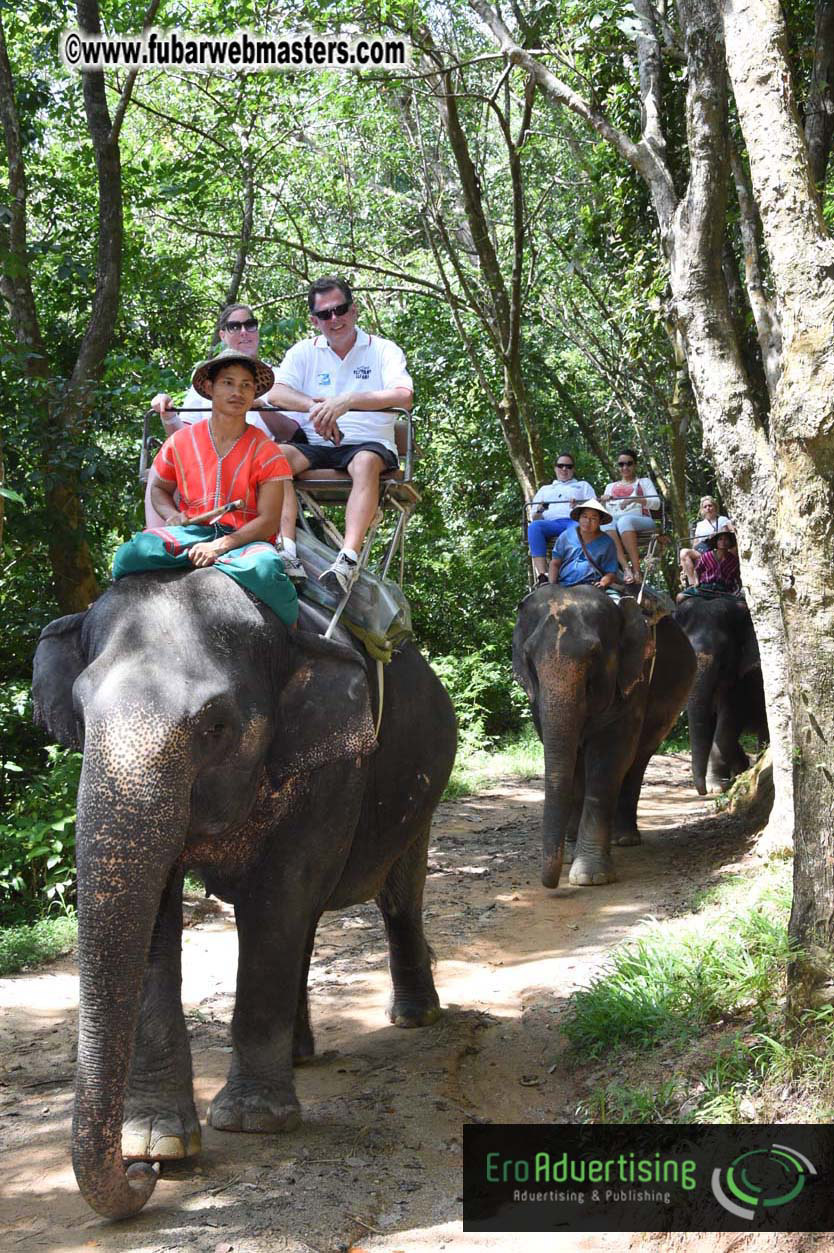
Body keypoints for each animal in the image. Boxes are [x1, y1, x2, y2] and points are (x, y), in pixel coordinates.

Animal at [31, 568, 456, 1220]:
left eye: (215, 725)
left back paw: (414, 1018)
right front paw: (158, 1142)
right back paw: (300, 1054)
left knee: (396, 896)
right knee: (310, 922)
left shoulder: (333, 765)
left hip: (423, 789)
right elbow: (158, 919)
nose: (140, 1176)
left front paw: (253, 1122)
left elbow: (278, 898)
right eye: (79, 712)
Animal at [513, 585, 696, 887]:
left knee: (637, 760)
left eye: (594, 653)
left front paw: (590, 876)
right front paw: (568, 855)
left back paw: (625, 838)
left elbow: (608, 760)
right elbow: (573, 765)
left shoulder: (635, 682)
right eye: (528, 655)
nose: (550, 883)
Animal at [673, 594, 768, 794]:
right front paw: (726, 780)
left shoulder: (751, 673)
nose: (702, 791)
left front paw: (723, 783)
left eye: (723, 660)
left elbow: (730, 716)